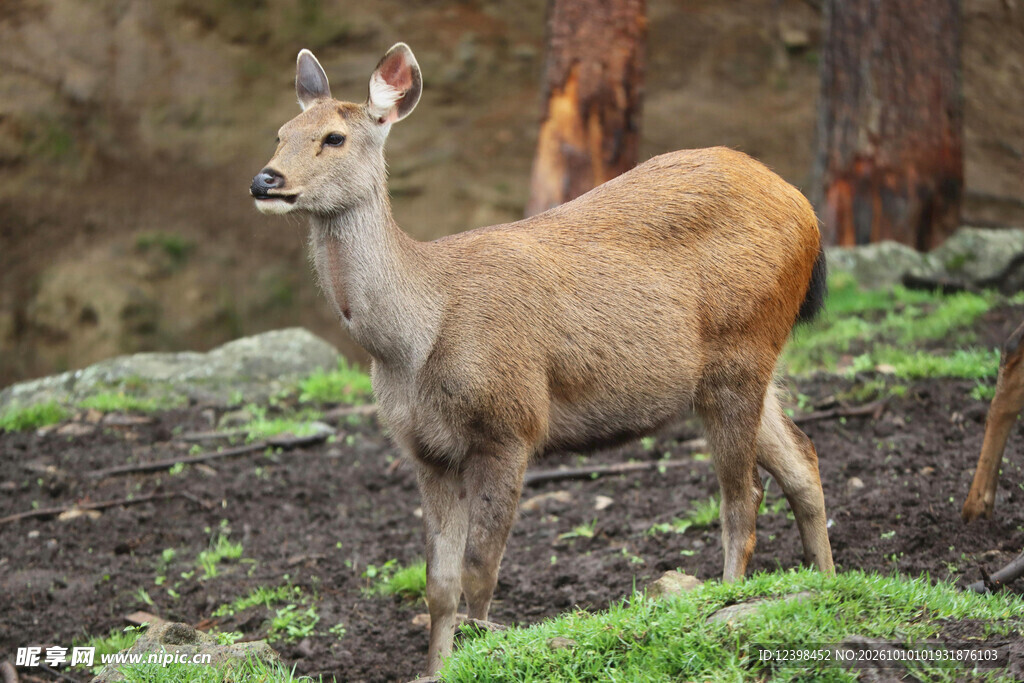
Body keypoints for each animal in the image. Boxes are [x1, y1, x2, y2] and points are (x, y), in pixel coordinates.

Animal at [250, 43, 834, 676]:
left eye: (333, 137)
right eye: (280, 133)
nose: (265, 179)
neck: (413, 341)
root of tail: (807, 210)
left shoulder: (512, 426)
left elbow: (480, 573)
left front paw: (481, 654)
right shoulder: (425, 451)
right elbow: (438, 584)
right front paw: (434, 669)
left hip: (742, 349)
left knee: (742, 498)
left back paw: (729, 599)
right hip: (745, 366)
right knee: (802, 459)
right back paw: (829, 584)